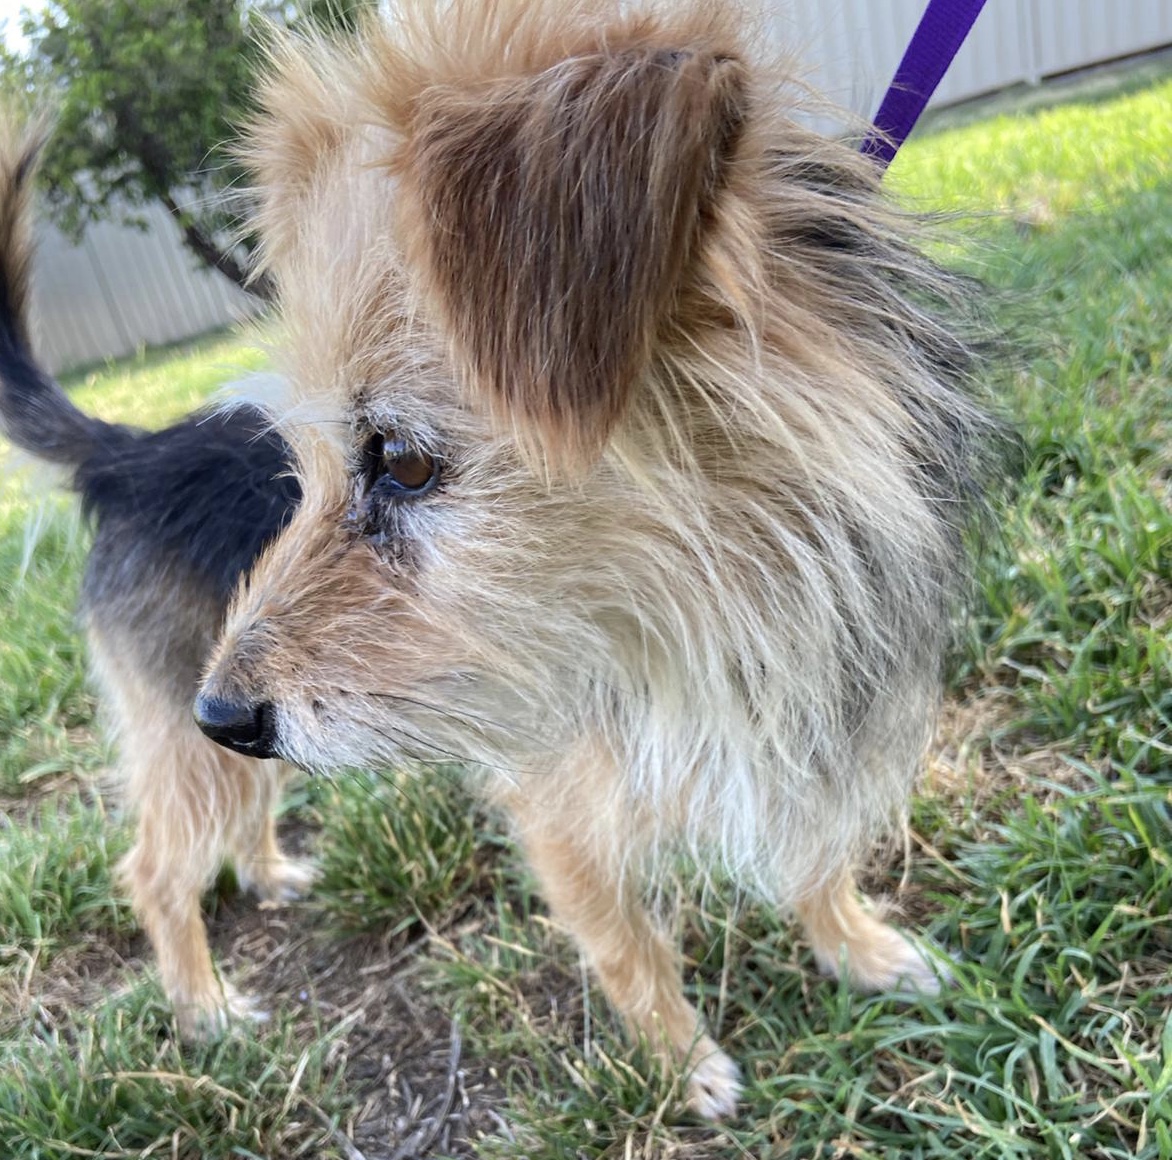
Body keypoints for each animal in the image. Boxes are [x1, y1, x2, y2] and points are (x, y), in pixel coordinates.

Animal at [2, 0, 995, 1119]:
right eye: (296, 467)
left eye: (403, 460)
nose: (222, 710)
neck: (706, 609)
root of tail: (129, 452)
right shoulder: (556, 802)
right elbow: (626, 941)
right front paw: (680, 1062)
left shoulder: (811, 723)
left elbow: (815, 862)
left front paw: (859, 951)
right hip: (184, 747)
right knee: (152, 872)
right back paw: (203, 1004)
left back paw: (267, 874)